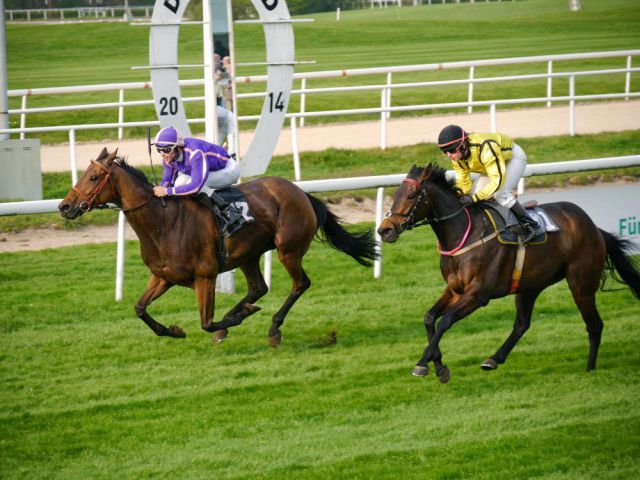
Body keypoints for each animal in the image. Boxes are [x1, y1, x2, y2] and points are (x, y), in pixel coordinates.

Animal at [59, 148, 376, 346]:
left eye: (94, 177)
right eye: (83, 174)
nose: (65, 206)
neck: (163, 223)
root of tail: (300, 192)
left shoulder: (205, 276)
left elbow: (206, 322)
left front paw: (234, 319)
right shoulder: (163, 277)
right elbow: (139, 309)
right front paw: (173, 330)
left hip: (288, 249)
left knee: (300, 284)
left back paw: (273, 328)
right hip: (249, 254)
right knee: (258, 288)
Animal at [378, 164, 636, 382]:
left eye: (412, 195)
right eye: (396, 193)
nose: (384, 230)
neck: (464, 233)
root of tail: (594, 227)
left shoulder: (477, 294)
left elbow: (445, 321)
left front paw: (422, 363)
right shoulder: (454, 290)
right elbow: (430, 318)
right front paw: (439, 367)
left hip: (581, 284)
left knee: (595, 324)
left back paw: (590, 368)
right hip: (529, 285)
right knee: (522, 323)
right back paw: (494, 359)